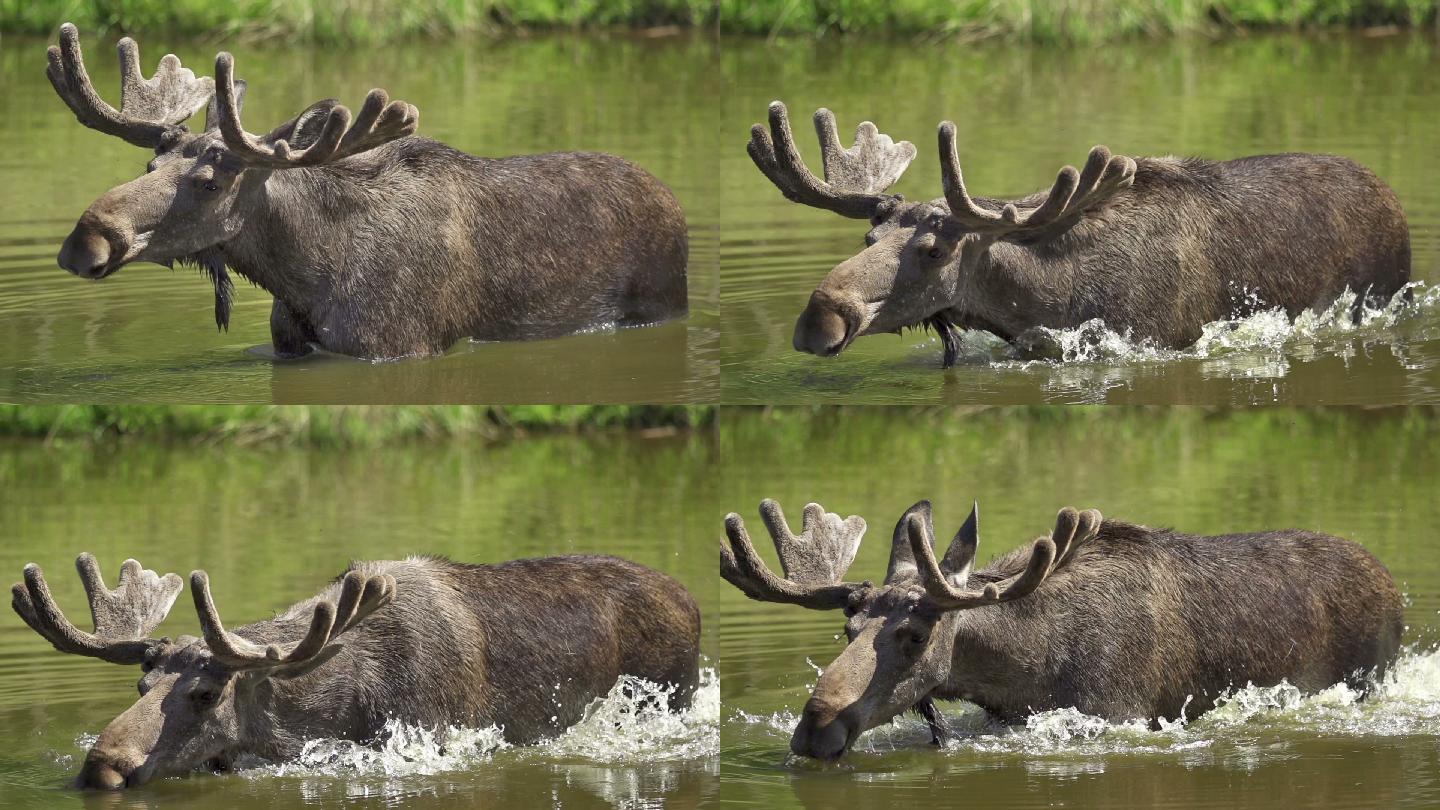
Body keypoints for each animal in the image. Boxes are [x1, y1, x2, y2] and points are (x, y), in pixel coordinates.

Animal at [47, 23, 688, 357]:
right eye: (150, 163)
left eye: (208, 181)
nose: (85, 240)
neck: (304, 275)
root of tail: (671, 197)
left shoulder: (400, 347)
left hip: (661, 301)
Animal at [725, 498, 1399, 755]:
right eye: (848, 630)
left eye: (915, 636)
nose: (815, 728)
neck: (1028, 669)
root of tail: (1393, 584)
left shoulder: (1120, 712)